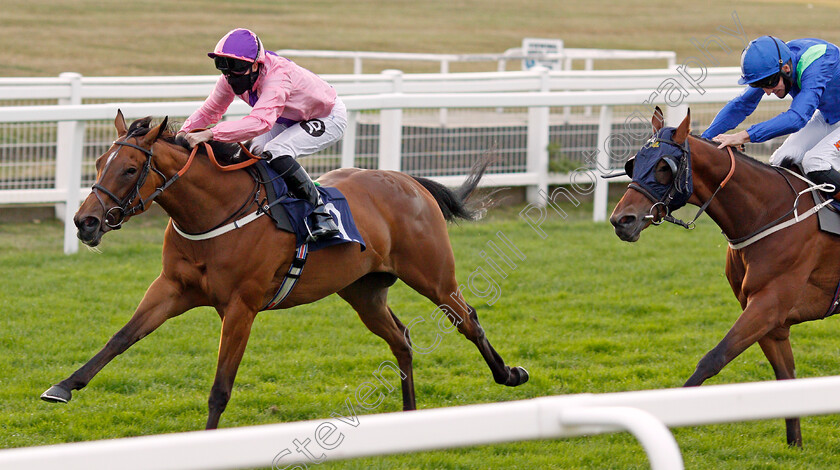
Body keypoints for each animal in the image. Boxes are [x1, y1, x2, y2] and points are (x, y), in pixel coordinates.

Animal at [41, 113, 524, 430]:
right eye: (98, 162)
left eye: (128, 169)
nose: (85, 222)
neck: (215, 213)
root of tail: (407, 180)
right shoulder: (172, 288)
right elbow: (121, 337)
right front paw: (63, 386)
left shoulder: (241, 306)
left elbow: (221, 386)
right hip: (364, 291)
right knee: (401, 338)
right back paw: (408, 416)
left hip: (433, 276)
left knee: (467, 319)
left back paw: (509, 373)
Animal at [612, 107, 840, 448]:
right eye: (633, 163)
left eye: (664, 167)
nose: (621, 220)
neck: (769, 212)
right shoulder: (771, 321)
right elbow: (785, 377)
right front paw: (795, 445)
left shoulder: (768, 306)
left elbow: (712, 358)